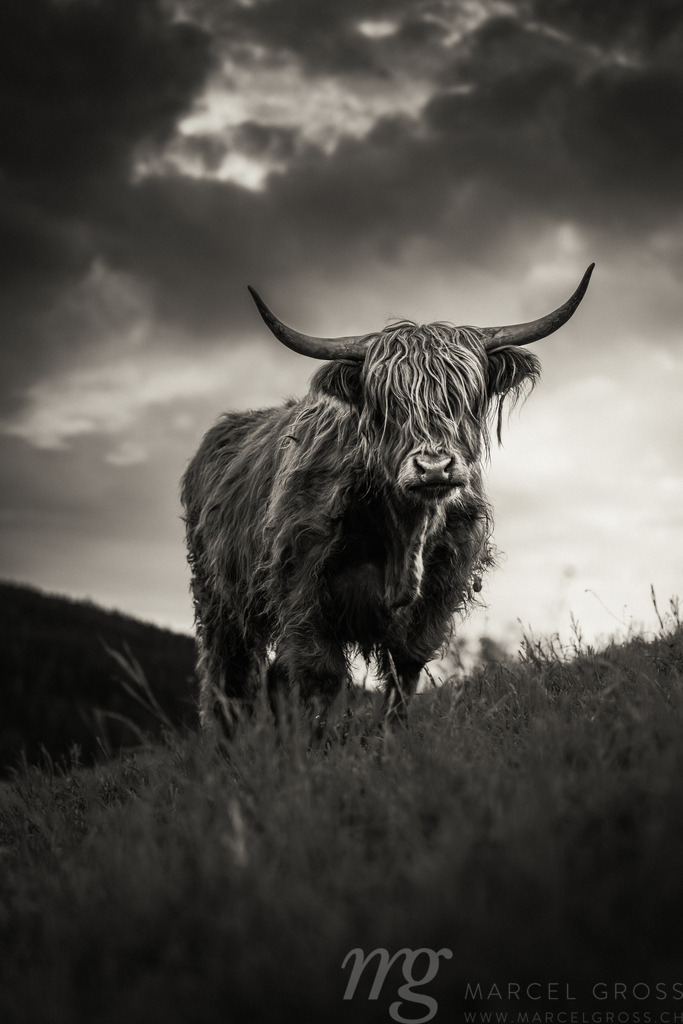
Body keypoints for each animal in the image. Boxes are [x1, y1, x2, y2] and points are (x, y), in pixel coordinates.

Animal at [181, 265, 594, 731]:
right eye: (388, 403)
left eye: (463, 397)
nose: (434, 467)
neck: (404, 532)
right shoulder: (301, 591)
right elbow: (319, 678)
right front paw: (316, 745)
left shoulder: (436, 598)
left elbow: (403, 673)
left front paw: (388, 739)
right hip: (218, 599)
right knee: (227, 680)